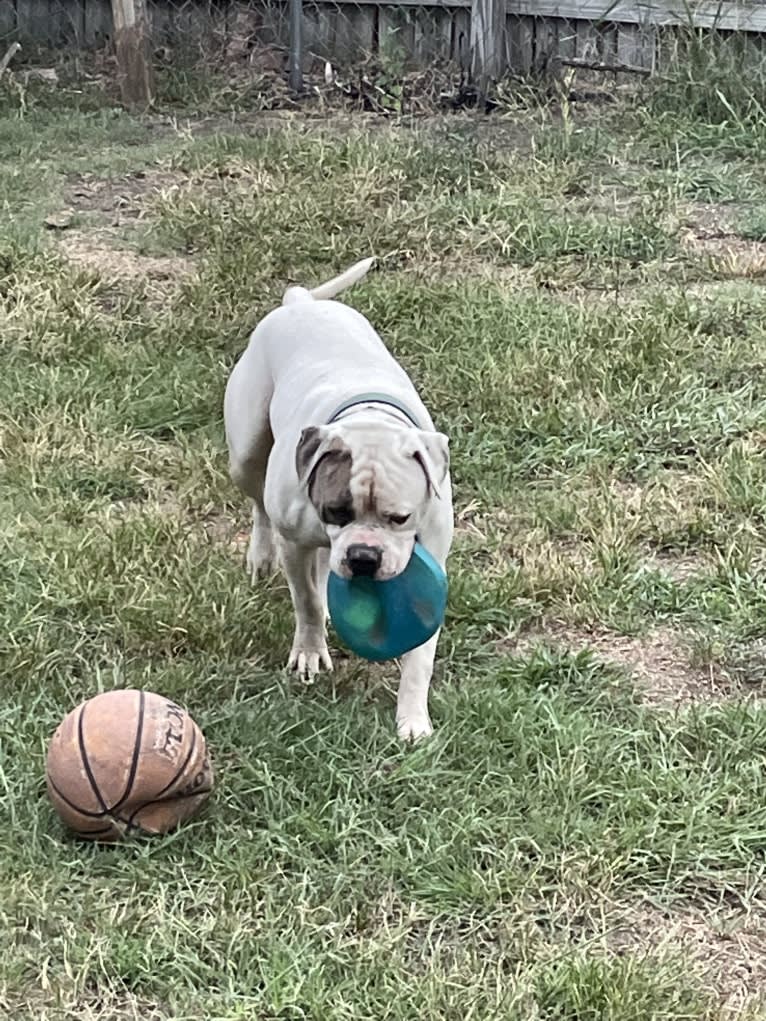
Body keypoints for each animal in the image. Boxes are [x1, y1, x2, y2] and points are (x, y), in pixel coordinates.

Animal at [221, 254, 453, 735]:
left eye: (401, 518)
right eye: (335, 511)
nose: (364, 557)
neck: (370, 420)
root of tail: (300, 304)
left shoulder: (435, 561)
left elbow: (420, 657)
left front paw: (413, 720)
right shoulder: (296, 541)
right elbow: (305, 601)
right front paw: (310, 653)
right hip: (247, 453)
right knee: (259, 506)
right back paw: (261, 557)